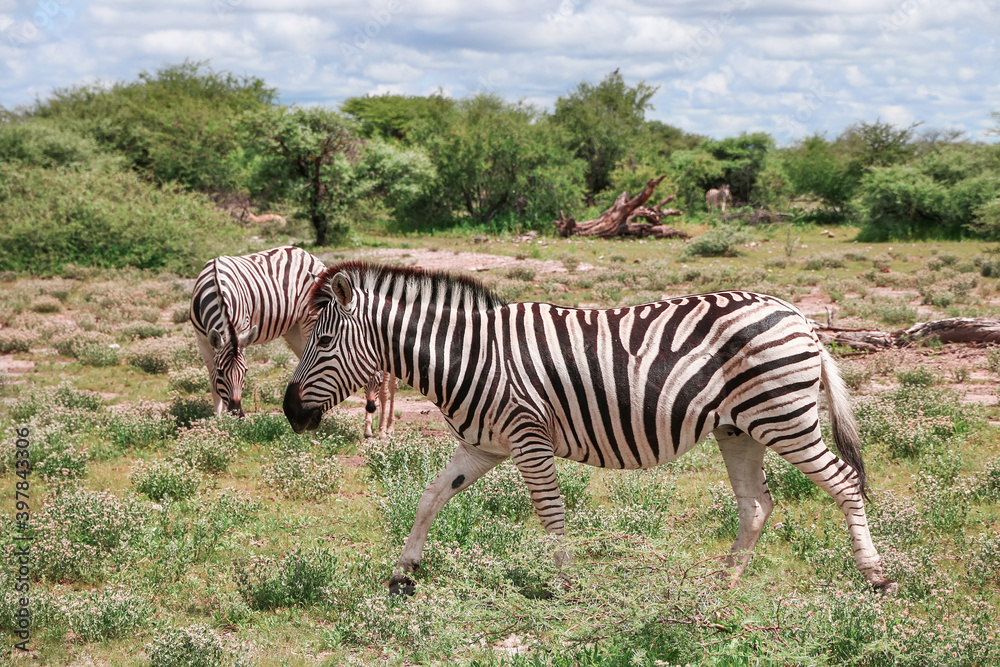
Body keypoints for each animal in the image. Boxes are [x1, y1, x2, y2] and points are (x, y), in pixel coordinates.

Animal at [190, 246, 325, 416]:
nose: (236, 413)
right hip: (293, 329)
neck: (217, 286)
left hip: (310, 318)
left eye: (246, 371)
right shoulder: (202, 340)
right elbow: (212, 379)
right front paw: (218, 416)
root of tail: (305, 252)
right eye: (221, 372)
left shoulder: (242, 332)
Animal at [283, 262, 894, 596]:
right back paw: (722, 584)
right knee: (757, 505)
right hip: (738, 429)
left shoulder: (527, 437)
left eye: (325, 342)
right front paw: (403, 572)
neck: (470, 357)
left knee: (845, 482)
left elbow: (550, 513)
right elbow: (430, 497)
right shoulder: (483, 445)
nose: (290, 411)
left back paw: (876, 578)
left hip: (783, 417)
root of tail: (801, 316)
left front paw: (565, 583)